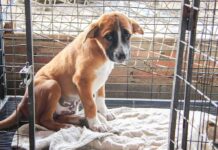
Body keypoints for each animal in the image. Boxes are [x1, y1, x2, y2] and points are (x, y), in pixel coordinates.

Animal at [0, 11, 144, 131]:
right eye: (108, 37)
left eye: (127, 35)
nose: (122, 55)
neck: (100, 50)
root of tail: (22, 104)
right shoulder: (82, 80)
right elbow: (91, 105)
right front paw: (96, 124)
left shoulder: (102, 79)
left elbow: (100, 99)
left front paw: (105, 113)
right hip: (52, 85)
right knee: (43, 120)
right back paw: (64, 126)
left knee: (57, 116)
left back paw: (78, 119)